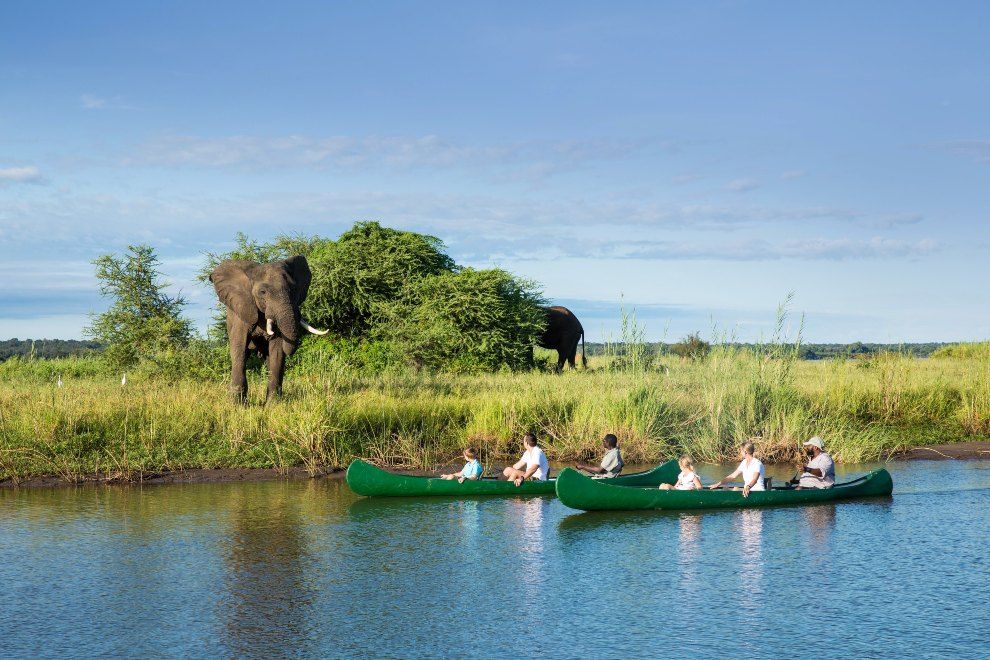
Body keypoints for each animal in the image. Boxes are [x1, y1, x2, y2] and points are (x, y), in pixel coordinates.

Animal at [210, 256, 330, 402]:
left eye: (293, 289)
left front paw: (273, 405)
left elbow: (277, 351)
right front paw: (236, 404)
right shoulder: (243, 311)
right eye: (263, 292)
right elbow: (239, 349)